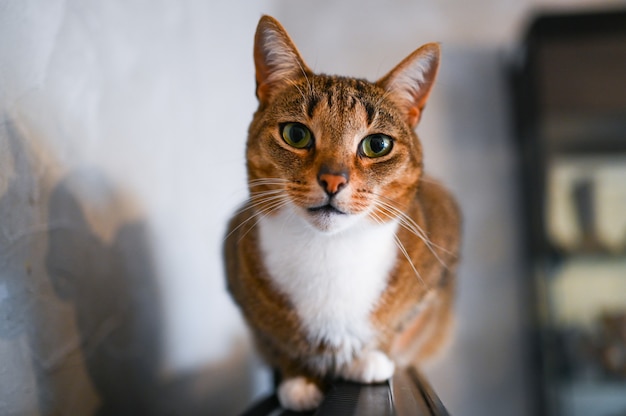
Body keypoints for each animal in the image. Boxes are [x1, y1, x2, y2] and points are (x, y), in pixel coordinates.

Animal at [223, 14, 458, 412]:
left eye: (377, 144)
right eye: (296, 134)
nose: (333, 180)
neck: (328, 251)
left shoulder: (438, 262)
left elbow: (400, 326)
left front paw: (369, 358)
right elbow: (274, 340)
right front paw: (298, 380)